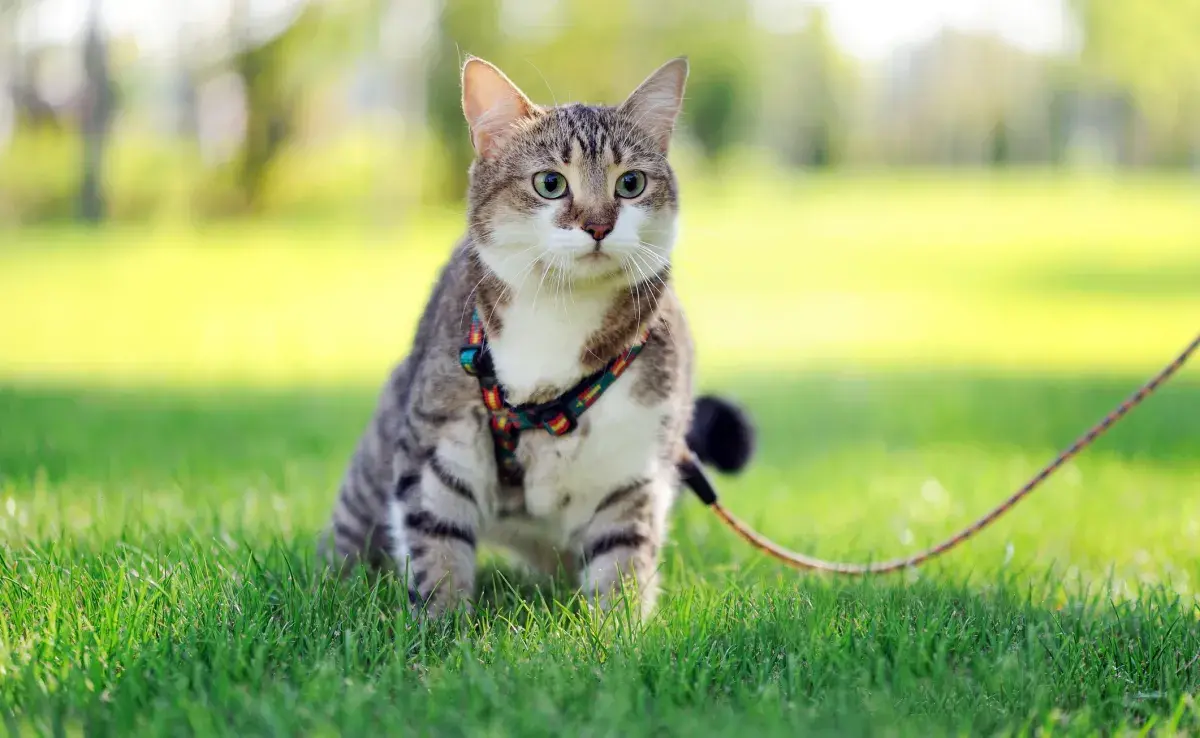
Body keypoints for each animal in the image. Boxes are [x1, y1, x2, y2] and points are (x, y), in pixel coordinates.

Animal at [324, 56, 753, 619]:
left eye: (631, 183)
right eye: (551, 183)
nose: (598, 224)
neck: (559, 314)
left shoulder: (632, 467)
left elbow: (622, 561)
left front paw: (620, 630)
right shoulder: (438, 444)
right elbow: (436, 545)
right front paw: (439, 626)